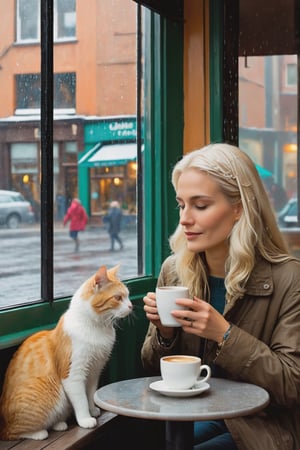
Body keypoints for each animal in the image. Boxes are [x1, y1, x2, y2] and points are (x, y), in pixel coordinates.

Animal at [0, 264, 132, 440]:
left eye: (128, 296)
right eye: (118, 298)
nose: (131, 306)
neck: (97, 328)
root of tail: (3, 424)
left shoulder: (94, 371)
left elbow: (90, 394)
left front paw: (92, 410)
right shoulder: (73, 374)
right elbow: (81, 400)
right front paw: (85, 419)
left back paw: (59, 424)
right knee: (14, 432)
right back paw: (39, 433)